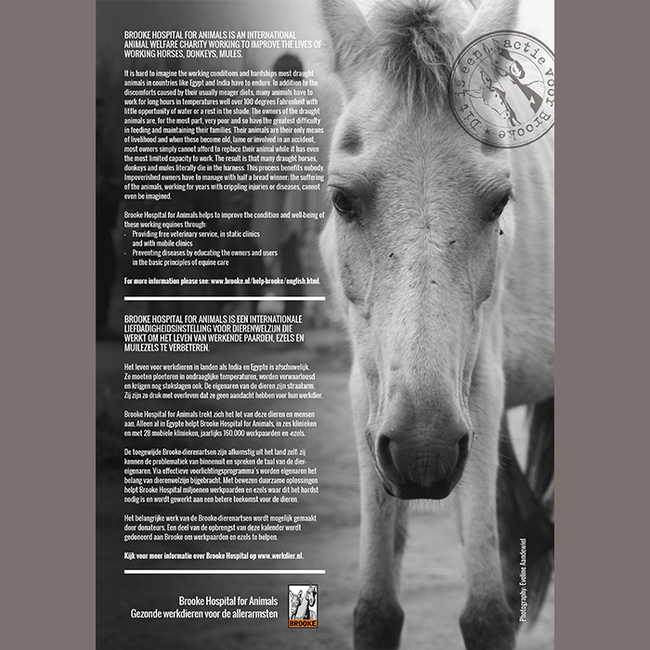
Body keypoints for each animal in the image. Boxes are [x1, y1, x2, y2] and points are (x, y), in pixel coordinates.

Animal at [317, 1, 554, 648]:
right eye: (342, 200)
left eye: (499, 202)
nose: (424, 452)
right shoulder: (366, 392)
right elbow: (375, 610)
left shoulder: (482, 389)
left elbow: (487, 614)